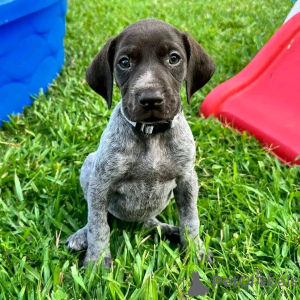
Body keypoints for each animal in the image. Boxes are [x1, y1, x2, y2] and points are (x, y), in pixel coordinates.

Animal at [67, 18, 214, 268]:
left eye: (174, 58)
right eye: (124, 62)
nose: (151, 98)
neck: (151, 134)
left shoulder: (187, 180)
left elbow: (190, 220)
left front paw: (195, 251)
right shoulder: (100, 183)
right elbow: (98, 226)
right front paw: (97, 261)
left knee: (148, 222)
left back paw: (167, 230)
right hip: (89, 165)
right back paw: (81, 235)